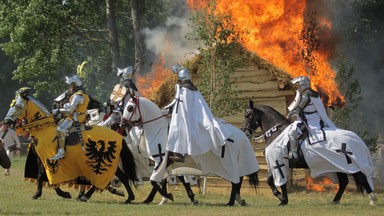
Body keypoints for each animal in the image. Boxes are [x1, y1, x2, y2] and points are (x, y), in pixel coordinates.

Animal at [122, 96, 260, 206]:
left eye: (130, 108)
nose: (122, 124)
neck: (158, 129)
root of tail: (241, 134)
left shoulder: (161, 161)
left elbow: (154, 181)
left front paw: (167, 196)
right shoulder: (171, 163)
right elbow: (177, 180)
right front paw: (191, 198)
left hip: (229, 164)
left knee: (236, 181)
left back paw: (231, 202)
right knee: (238, 180)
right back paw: (237, 200)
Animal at [242, 100, 376, 206]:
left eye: (248, 115)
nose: (244, 131)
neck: (277, 132)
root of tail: (356, 139)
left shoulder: (279, 162)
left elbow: (277, 182)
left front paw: (283, 199)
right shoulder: (277, 164)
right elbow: (270, 181)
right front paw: (283, 199)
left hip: (348, 164)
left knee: (361, 177)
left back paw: (372, 200)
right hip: (339, 166)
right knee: (344, 182)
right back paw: (335, 201)